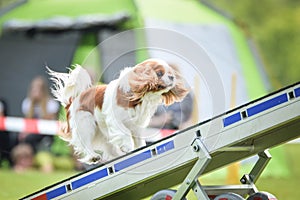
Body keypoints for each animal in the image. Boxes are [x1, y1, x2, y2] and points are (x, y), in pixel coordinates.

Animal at [47, 58, 188, 164]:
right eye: (159, 73)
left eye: (170, 72)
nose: (172, 77)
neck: (139, 96)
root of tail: (73, 100)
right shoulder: (115, 120)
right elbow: (125, 133)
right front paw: (127, 146)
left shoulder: (136, 126)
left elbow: (138, 139)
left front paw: (140, 148)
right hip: (86, 124)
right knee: (85, 143)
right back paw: (93, 156)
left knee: (108, 147)